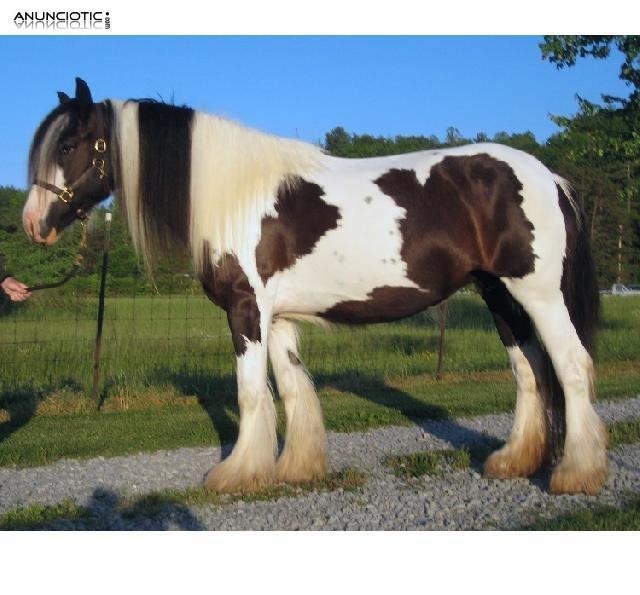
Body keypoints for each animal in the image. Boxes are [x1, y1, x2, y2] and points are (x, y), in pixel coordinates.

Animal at [22, 78, 608, 495]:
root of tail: (548, 177)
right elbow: (293, 388)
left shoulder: (245, 310)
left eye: (69, 144)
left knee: (570, 367)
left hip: (538, 295)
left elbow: (252, 391)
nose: (33, 223)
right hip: (499, 295)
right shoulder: (277, 317)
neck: (234, 197)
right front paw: (295, 469)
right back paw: (514, 462)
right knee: (529, 370)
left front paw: (236, 474)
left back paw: (576, 474)